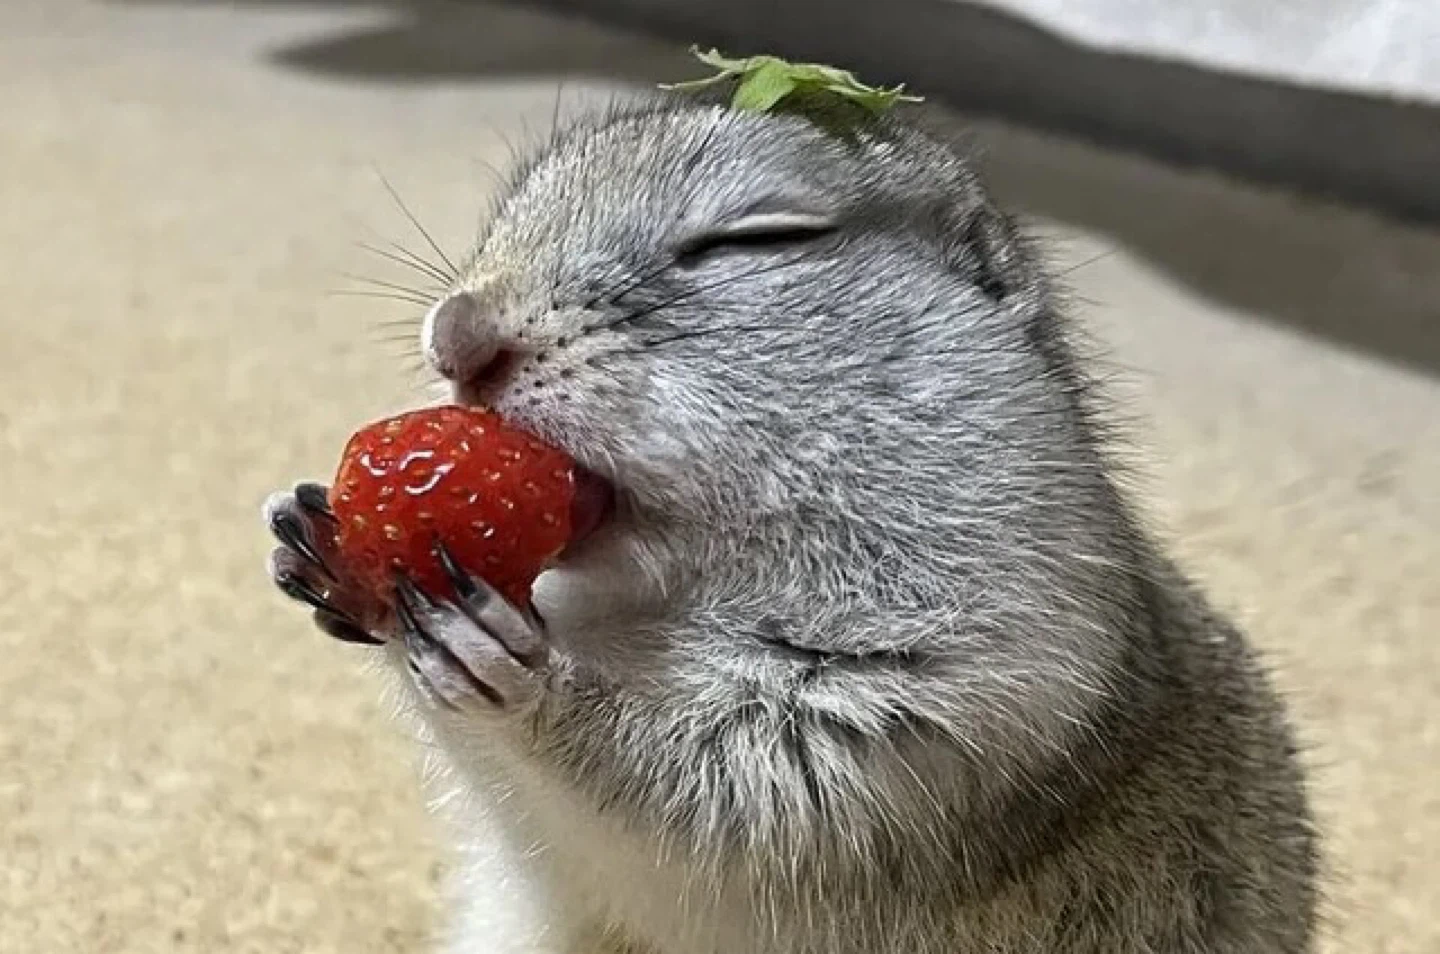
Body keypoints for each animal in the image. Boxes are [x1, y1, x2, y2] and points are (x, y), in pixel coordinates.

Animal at [264, 85, 1319, 953]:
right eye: (513, 209)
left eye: (760, 238)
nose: (457, 336)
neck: (654, 602)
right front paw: (317, 537)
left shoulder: (966, 706)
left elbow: (714, 798)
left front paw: (507, 666)